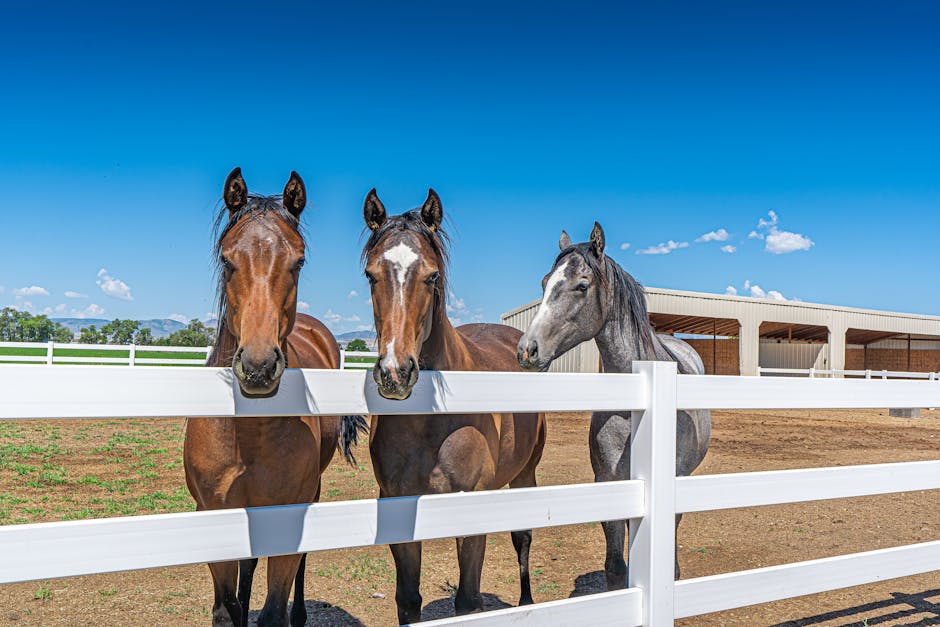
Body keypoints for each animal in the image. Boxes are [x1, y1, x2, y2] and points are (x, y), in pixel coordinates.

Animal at [183, 168, 364, 627]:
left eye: (297, 261)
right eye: (227, 260)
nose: (259, 366)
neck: (250, 432)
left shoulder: (289, 514)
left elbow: (273, 610)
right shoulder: (216, 517)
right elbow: (226, 609)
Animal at [362, 190, 552, 624]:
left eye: (431, 276)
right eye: (371, 275)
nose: (395, 372)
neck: (431, 424)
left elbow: (467, 600)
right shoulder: (398, 503)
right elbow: (407, 600)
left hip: (526, 473)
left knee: (523, 538)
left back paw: (527, 603)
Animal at [516, 224, 712, 588]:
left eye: (582, 285)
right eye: (544, 282)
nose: (527, 350)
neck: (635, 411)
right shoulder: (608, 480)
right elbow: (615, 567)